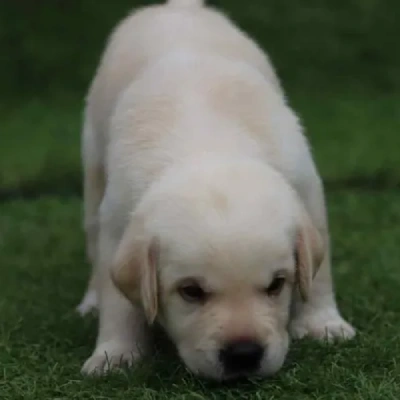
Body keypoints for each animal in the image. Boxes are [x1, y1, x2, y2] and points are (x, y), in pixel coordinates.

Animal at [76, 0, 354, 382]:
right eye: (191, 292)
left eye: (276, 284)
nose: (244, 354)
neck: (207, 143)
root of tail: (172, 8)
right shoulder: (117, 219)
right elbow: (117, 298)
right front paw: (114, 353)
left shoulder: (307, 190)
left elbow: (319, 273)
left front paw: (322, 324)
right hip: (94, 168)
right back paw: (91, 302)